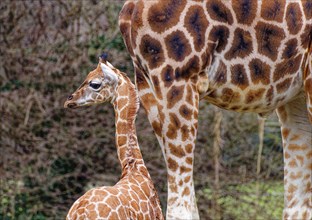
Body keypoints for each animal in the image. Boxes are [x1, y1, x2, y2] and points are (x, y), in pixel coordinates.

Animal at [118, 0, 310, 219]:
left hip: (149, 89)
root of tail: (130, 10)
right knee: (180, 202)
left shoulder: (297, 98)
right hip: (176, 80)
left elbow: (297, 203)